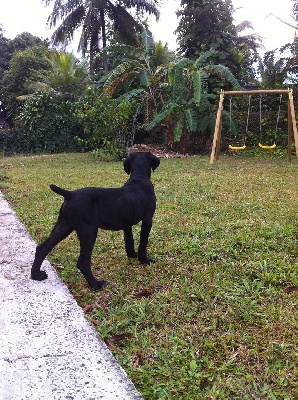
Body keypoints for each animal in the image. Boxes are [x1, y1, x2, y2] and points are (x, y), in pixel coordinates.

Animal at [31, 152, 159, 290]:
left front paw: (132, 255)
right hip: (89, 231)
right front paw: (145, 260)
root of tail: (70, 194)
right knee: (82, 262)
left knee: (42, 248)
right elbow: (143, 243)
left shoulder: (127, 224)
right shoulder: (147, 220)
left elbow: (129, 241)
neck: (139, 179)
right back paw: (96, 285)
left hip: (64, 225)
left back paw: (36, 275)